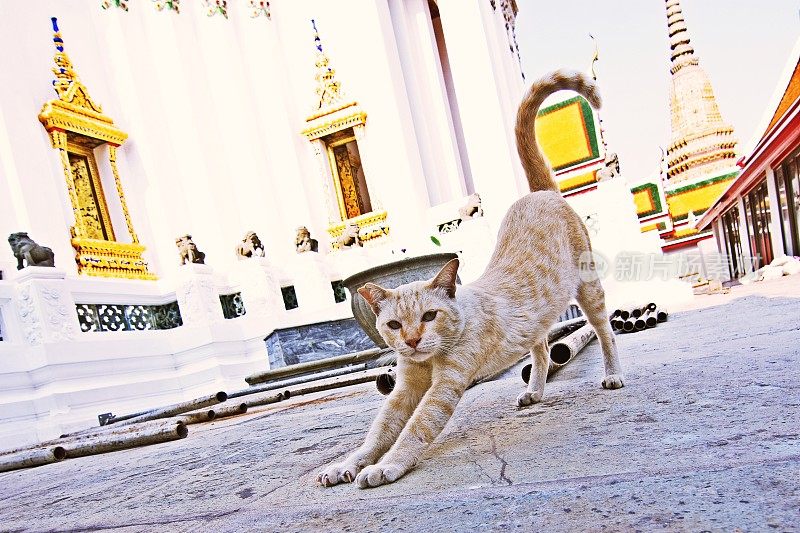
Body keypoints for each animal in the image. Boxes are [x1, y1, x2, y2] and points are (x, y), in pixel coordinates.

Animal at [318, 68, 624, 488]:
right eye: (395, 325)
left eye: (429, 316)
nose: (412, 341)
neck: (430, 359)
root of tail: (541, 193)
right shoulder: (404, 389)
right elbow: (378, 432)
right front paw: (348, 463)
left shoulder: (444, 387)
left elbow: (414, 430)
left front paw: (385, 466)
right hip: (537, 323)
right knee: (542, 350)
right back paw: (534, 391)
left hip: (590, 292)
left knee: (605, 332)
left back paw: (612, 375)